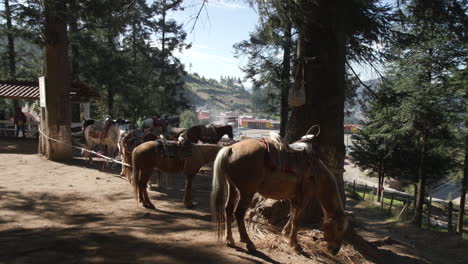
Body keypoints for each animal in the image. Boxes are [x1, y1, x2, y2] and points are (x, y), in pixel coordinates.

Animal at [210, 133, 350, 255]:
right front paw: (296, 245)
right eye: (339, 228)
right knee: (238, 213)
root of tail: (230, 148)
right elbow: (296, 220)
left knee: (228, 209)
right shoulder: (305, 196)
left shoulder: (293, 197)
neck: (316, 172)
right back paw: (248, 242)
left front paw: (285, 232)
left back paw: (230, 240)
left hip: (233, 187)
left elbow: (292, 215)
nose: (335, 250)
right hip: (246, 192)